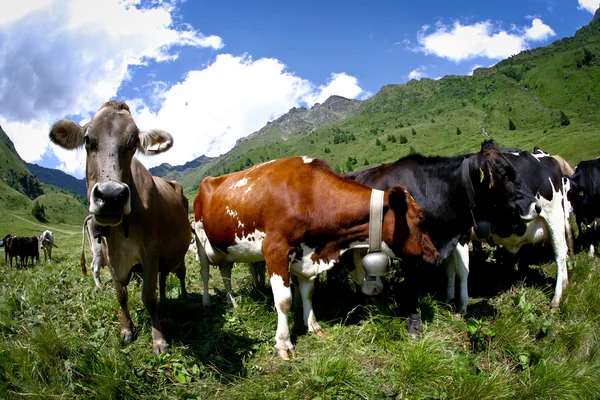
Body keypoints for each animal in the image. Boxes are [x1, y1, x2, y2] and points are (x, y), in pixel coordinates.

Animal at [49, 99, 190, 354]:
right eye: (88, 139)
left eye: (133, 143)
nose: (111, 195)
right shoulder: (109, 252)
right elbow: (121, 293)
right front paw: (127, 329)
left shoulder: (150, 250)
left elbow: (148, 296)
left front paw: (159, 339)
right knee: (163, 278)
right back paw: (166, 300)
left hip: (179, 252)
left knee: (180, 274)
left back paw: (183, 297)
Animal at [195, 155, 438, 360]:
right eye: (421, 217)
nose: (434, 254)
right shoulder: (275, 250)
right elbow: (284, 301)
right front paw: (284, 343)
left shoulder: (306, 256)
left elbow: (308, 293)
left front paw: (313, 326)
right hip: (199, 239)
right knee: (205, 272)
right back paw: (206, 303)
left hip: (224, 249)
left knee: (225, 272)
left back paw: (233, 302)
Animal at [344, 139, 536, 326]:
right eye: (504, 174)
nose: (536, 206)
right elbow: (412, 284)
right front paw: (414, 322)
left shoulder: (453, 239)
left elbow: (456, 270)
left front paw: (454, 303)